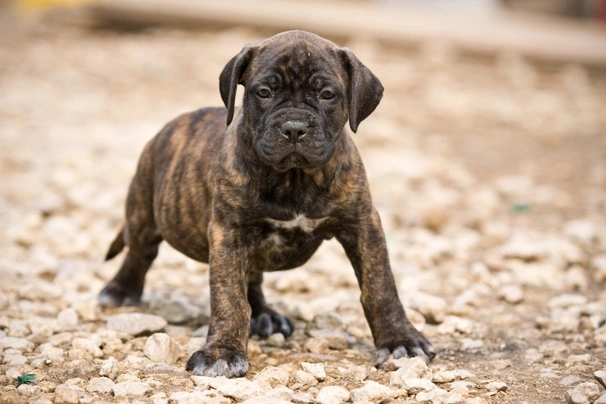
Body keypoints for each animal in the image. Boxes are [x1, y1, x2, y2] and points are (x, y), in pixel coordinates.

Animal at [100, 30, 434, 378]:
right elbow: (229, 297)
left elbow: (380, 286)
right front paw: (222, 352)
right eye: (264, 92)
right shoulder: (228, 232)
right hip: (143, 212)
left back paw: (265, 314)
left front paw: (400, 340)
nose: (294, 127)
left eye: (327, 94)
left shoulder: (362, 224)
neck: (294, 178)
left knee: (252, 277)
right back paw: (120, 290)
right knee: (140, 253)